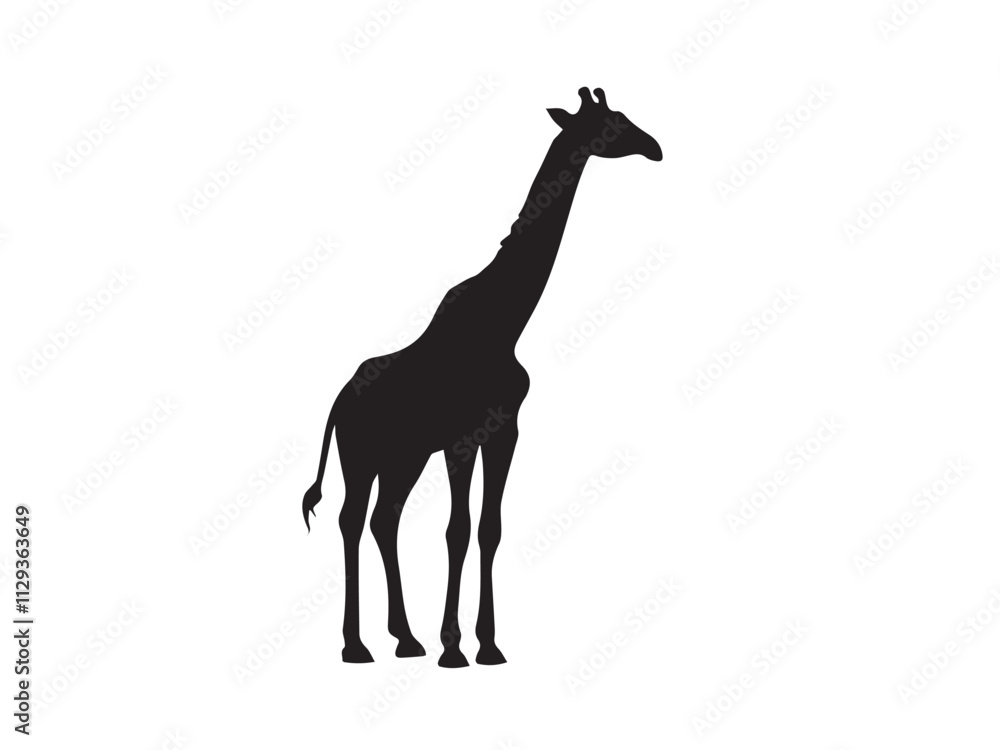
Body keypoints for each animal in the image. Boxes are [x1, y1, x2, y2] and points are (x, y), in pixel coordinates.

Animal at [303, 87, 662, 667]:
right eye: (610, 125)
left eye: (625, 117)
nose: (654, 147)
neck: (504, 323)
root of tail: (338, 401)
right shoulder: (462, 438)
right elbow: (458, 529)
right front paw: (455, 647)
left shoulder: (503, 431)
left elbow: (488, 529)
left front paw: (486, 644)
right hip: (361, 455)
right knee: (351, 521)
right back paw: (356, 645)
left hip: (402, 458)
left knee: (384, 521)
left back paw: (405, 639)